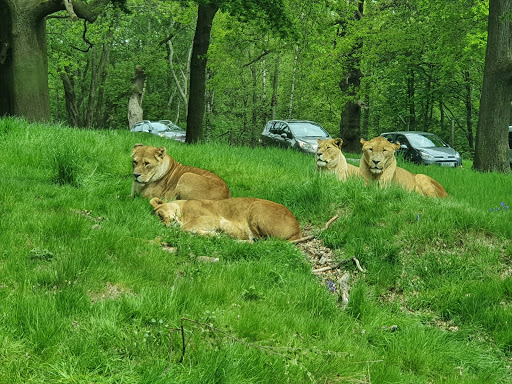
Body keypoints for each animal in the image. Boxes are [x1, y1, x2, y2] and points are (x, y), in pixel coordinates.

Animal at [149, 196, 300, 242]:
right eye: (160, 219)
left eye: (160, 215)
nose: (166, 225)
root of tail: (298, 229)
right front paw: (214, 235)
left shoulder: (212, 218)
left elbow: (184, 228)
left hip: (256, 206)